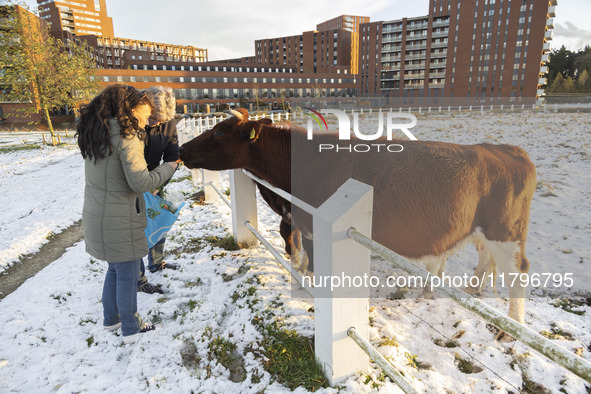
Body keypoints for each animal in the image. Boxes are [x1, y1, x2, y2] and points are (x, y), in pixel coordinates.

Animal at [180, 107, 536, 324]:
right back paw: (470, 290)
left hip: (506, 232)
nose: (181, 149)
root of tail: (506, 150)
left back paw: (511, 326)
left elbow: (311, 261)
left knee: (517, 272)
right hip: (480, 230)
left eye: (219, 132)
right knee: (482, 258)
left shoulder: (313, 226)